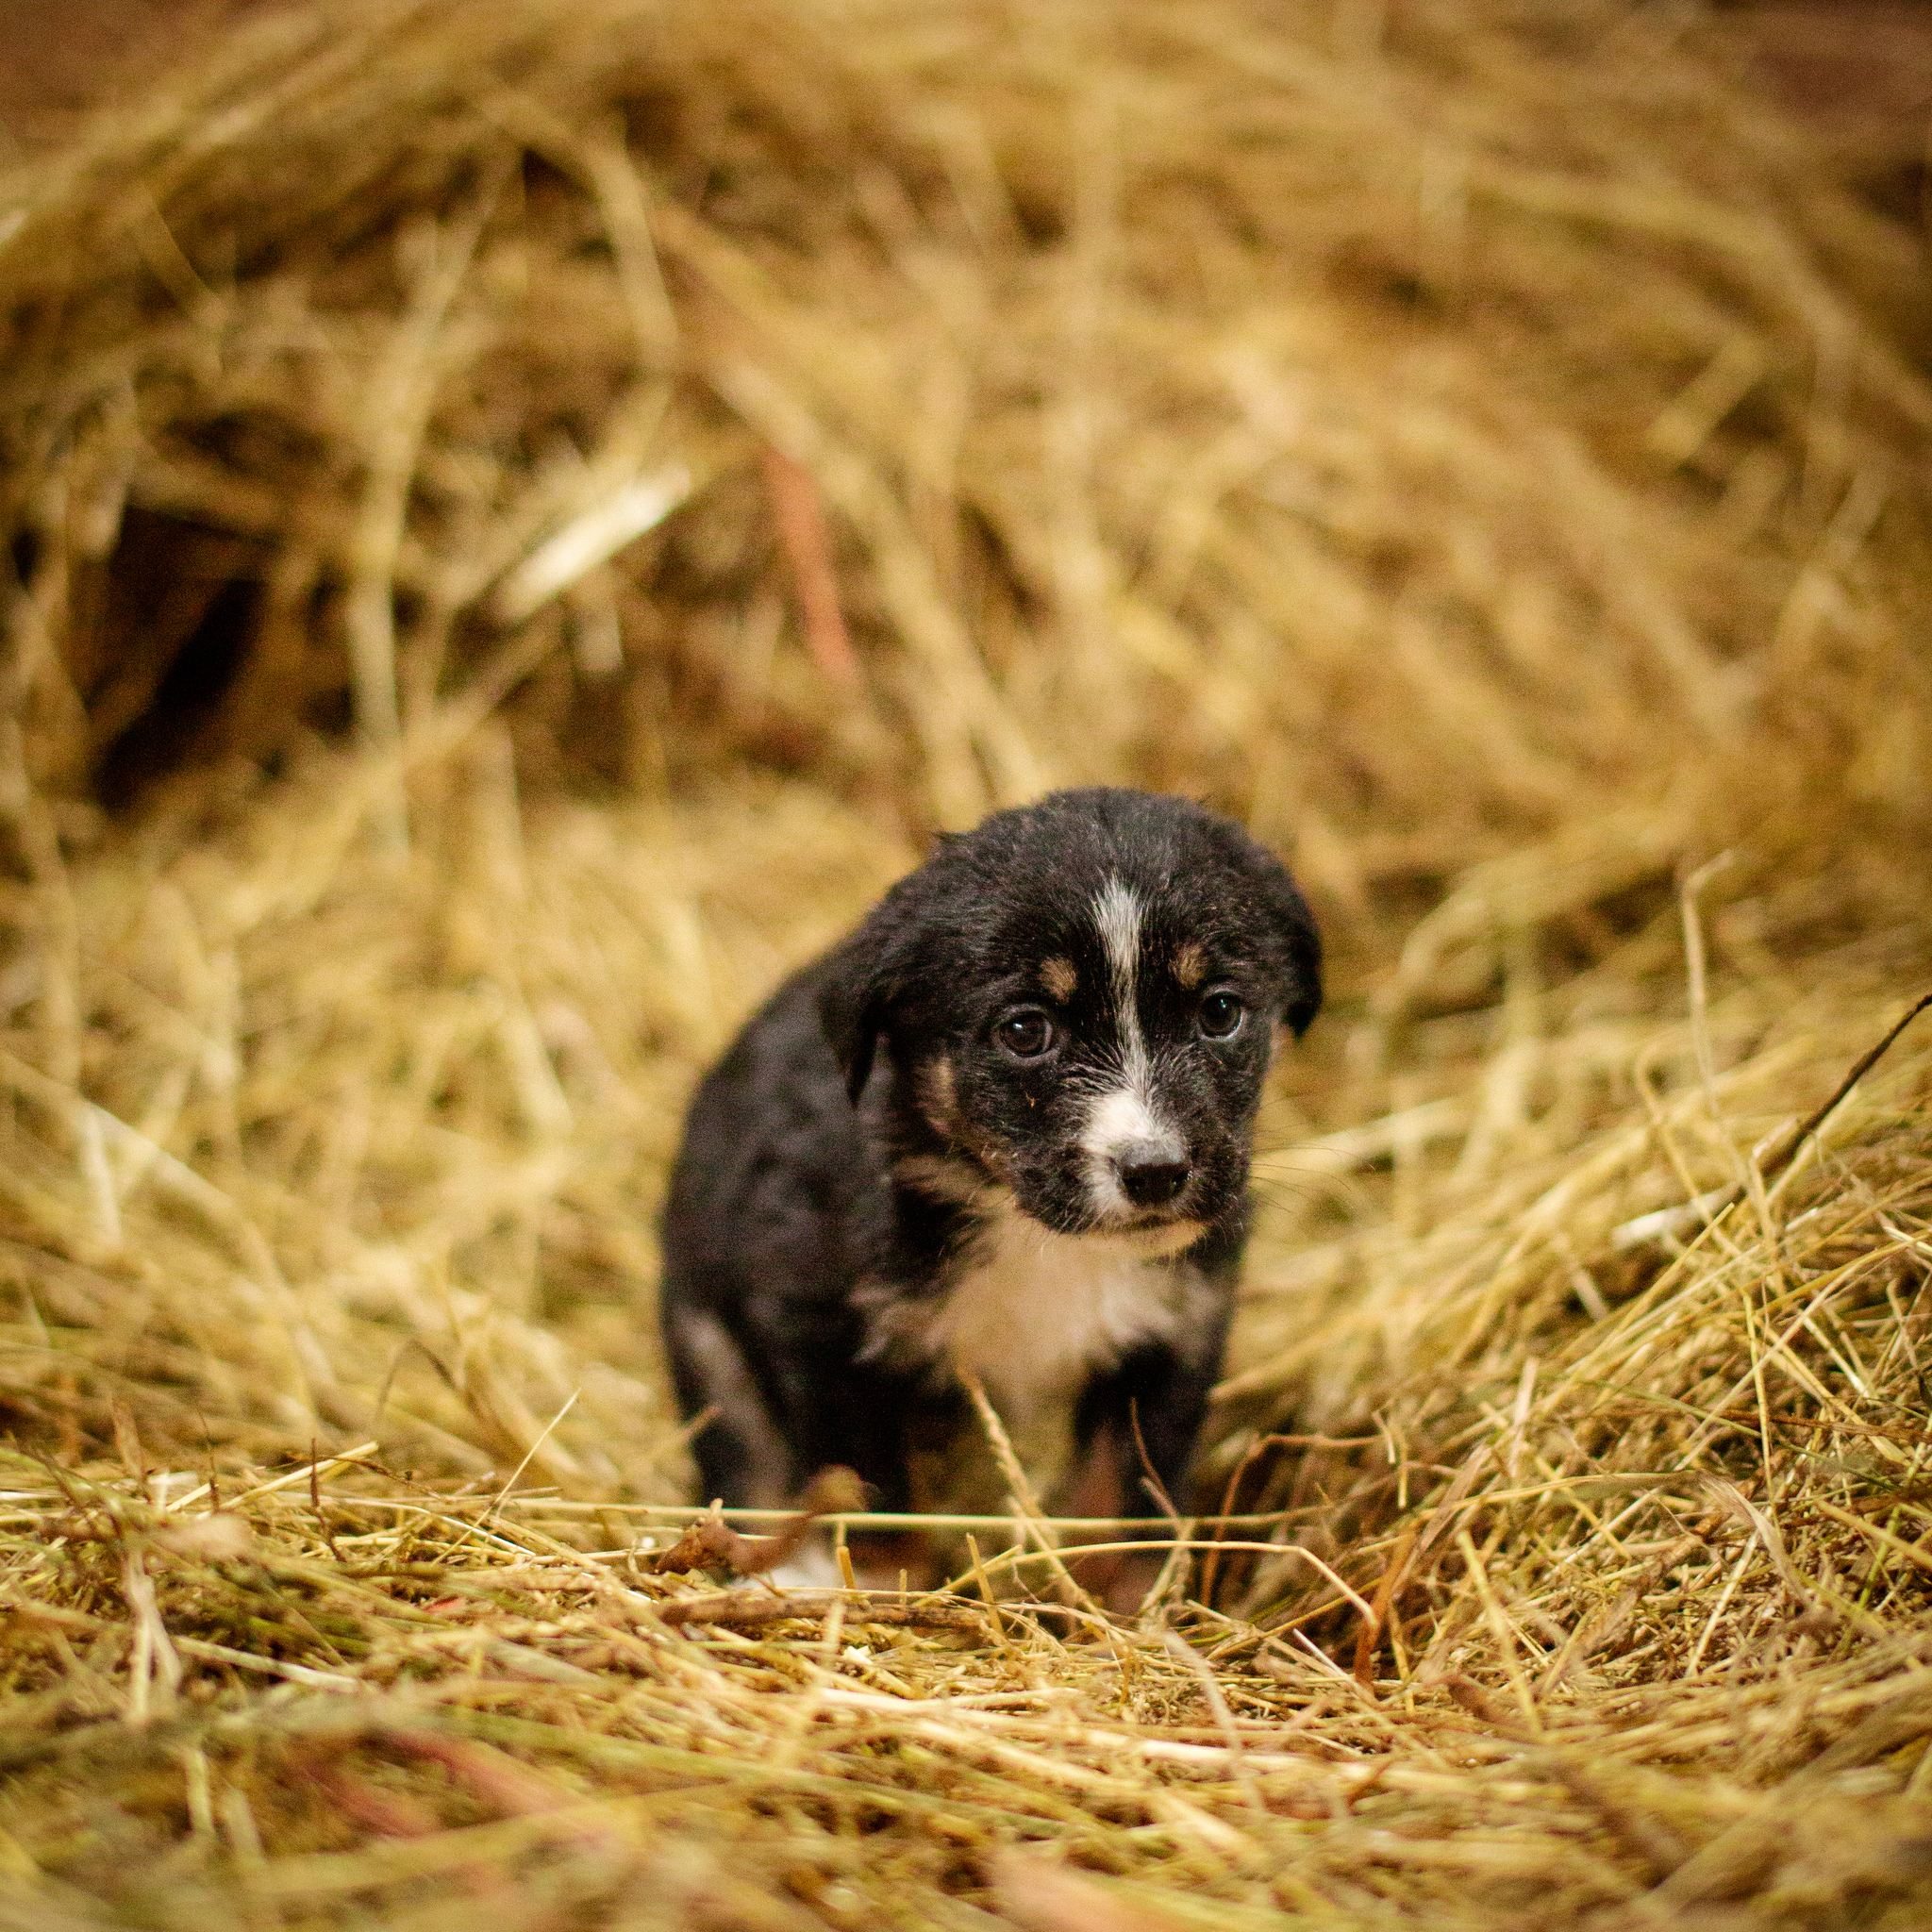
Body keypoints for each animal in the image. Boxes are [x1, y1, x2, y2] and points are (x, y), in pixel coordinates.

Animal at [657, 784, 1321, 1599]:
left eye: (1221, 1012)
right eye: (1026, 1031)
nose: (1156, 1171)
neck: (1034, 1234)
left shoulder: (1178, 1326)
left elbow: (1129, 1487)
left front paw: (1126, 1604)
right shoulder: (814, 1323)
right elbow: (864, 1488)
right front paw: (875, 1588)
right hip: (705, 1341)